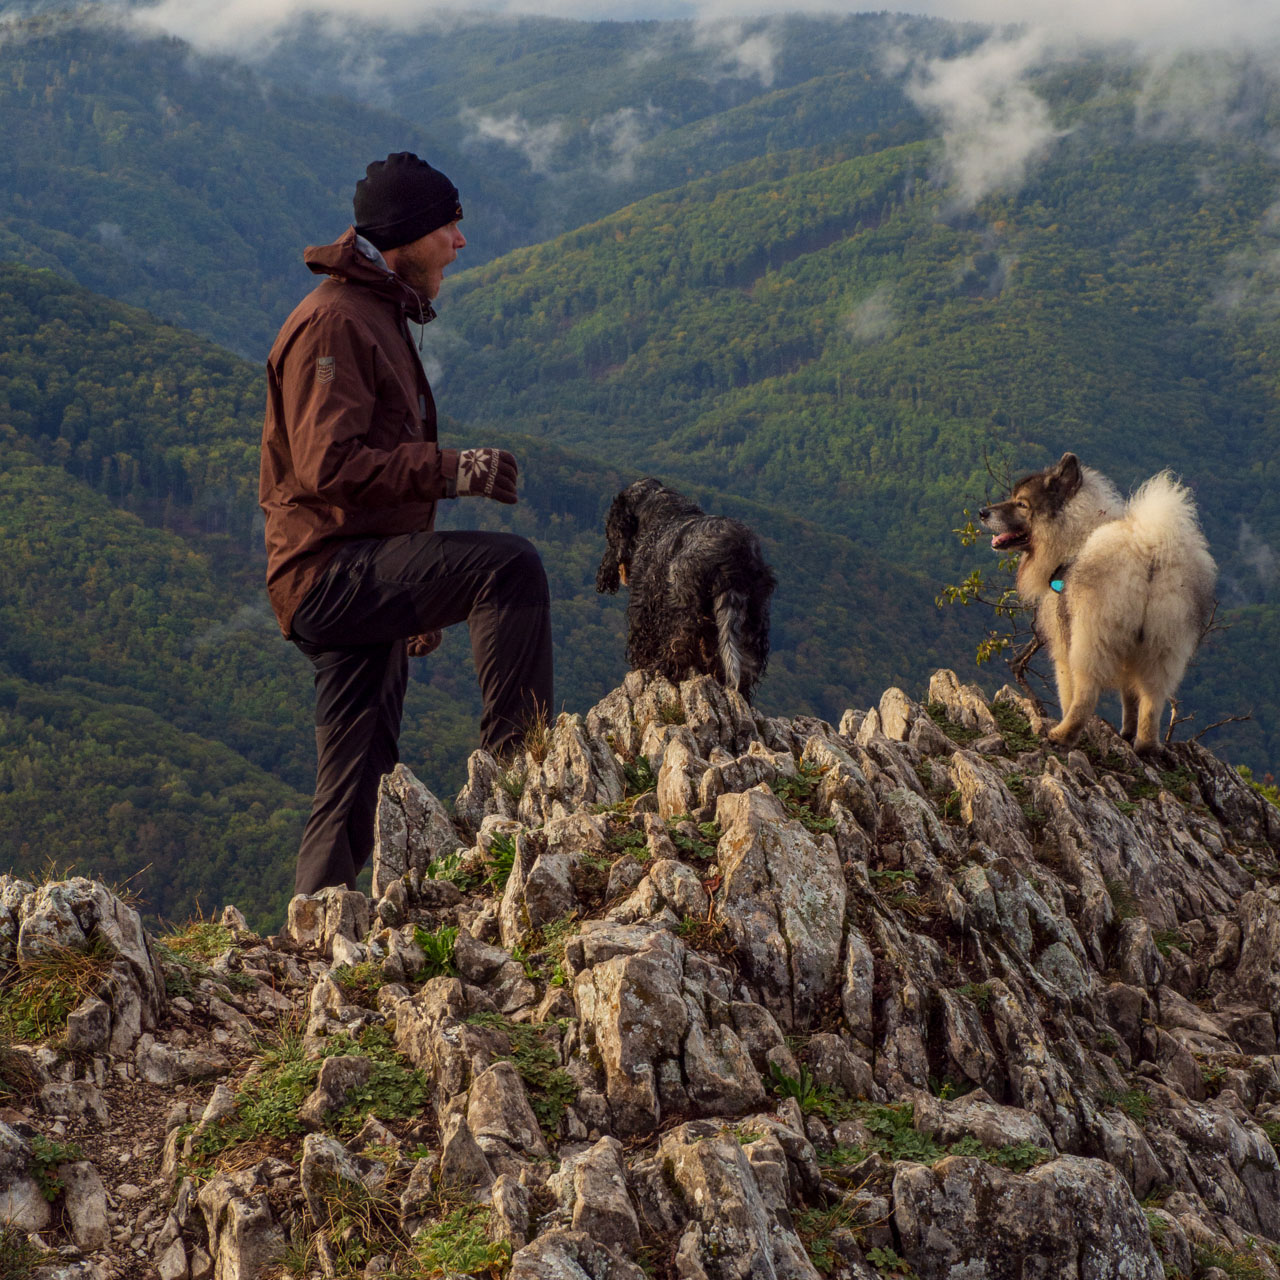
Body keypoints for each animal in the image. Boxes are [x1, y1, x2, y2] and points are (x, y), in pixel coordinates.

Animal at [593, 478, 773, 701]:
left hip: (684, 609)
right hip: (753, 620)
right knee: (746, 665)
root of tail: (732, 554)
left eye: (609, 532)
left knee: (677, 648)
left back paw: (661, 670)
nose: (603, 575)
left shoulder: (643, 609)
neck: (662, 516)